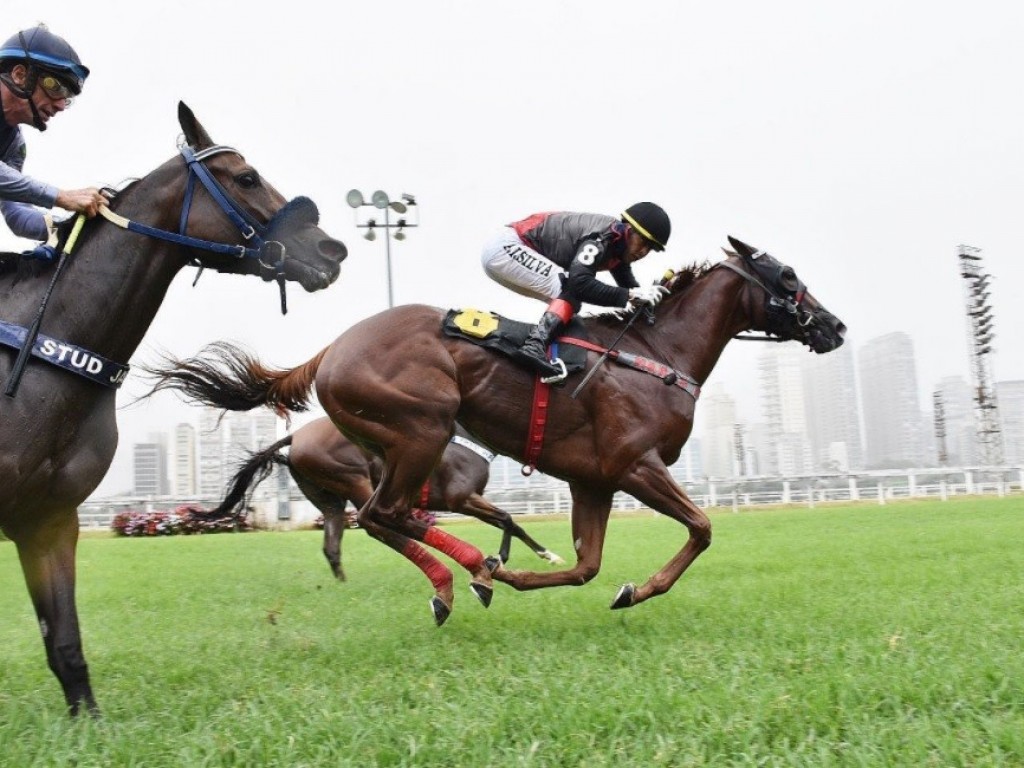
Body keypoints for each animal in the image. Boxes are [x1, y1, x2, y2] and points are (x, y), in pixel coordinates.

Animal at [214, 417, 569, 581]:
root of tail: (295, 437)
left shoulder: (469, 500)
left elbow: (514, 524)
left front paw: (549, 555)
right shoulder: (462, 499)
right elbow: (508, 519)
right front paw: (500, 558)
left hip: (330, 500)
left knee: (333, 544)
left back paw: (344, 583)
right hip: (357, 481)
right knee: (375, 523)